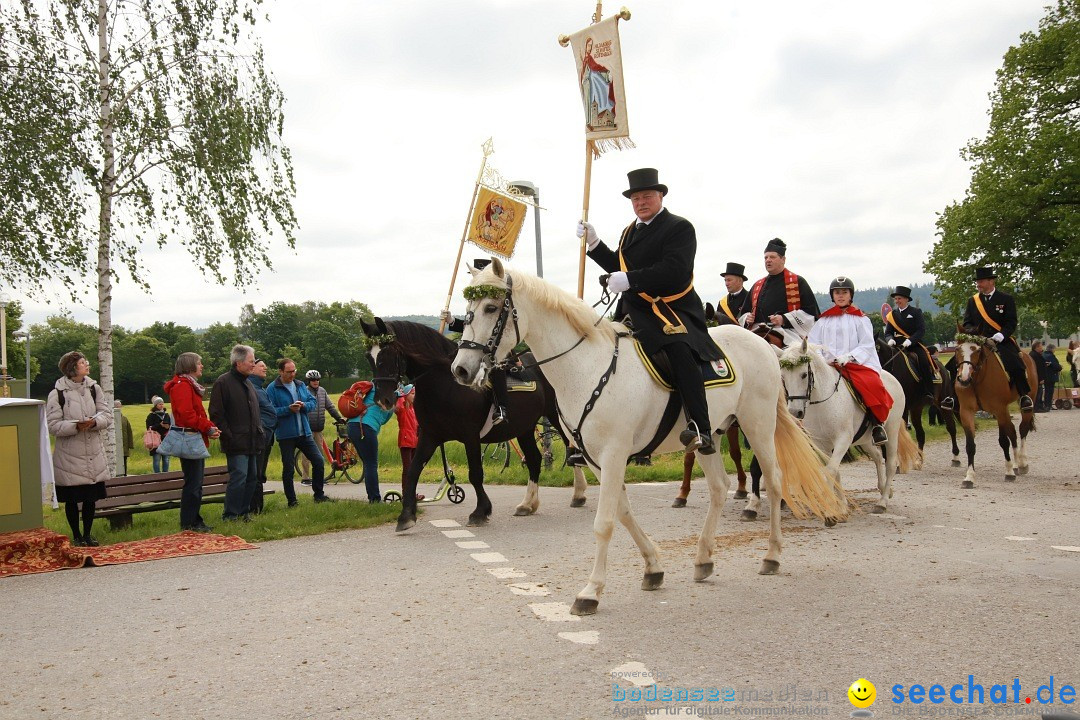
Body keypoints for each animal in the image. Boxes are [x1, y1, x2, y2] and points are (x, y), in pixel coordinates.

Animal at [360, 317, 583, 533]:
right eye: (369, 356)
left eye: (388, 353)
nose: (383, 400)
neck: (444, 383)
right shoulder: (429, 436)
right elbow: (413, 472)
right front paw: (406, 516)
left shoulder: (470, 436)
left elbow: (475, 473)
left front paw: (480, 512)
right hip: (525, 427)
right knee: (535, 459)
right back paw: (528, 504)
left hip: (557, 418)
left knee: (572, 450)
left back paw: (578, 494)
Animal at [451, 262, 846, 617]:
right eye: (465, 312)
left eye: (490, 308)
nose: (461, 370)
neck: (587, 365)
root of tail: (763, 345)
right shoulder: (596, 459)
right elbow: (624, 514)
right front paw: (653, 568)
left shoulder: (613, 454)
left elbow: (604, 522)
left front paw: (590, 591)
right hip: (710, 435)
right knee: (719, 487)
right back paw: (703, 559)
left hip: (758, 424)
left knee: (775, 480)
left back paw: (772, 555)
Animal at [777, 341, 920, 515]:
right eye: (783, 377)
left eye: (804, 375)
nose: (794, 412)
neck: (823, 402)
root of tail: (892, 378)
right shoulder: (821, 444)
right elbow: (835, 470)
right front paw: (841, 505)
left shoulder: (843, 440)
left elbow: (831, 470)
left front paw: (831, 509)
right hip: (865, 439)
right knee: (877, 457)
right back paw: (883, 489)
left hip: (892, 432)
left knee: (891, 464)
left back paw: (883, 501)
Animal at [876, 338, 963, 468]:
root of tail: (941, 367)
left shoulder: (903, 408)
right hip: (916, 408)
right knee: (920, 433)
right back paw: (919, 459)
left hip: (941, 402)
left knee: (951, 427)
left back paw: (956, 457)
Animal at [954, 328, 1036, 490]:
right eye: (958, 349)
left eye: (977, 350)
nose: (964, 378)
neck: (977, 378)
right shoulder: (966, 412)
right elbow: (970, 445)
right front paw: (969, 477)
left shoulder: (999, 410)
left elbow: (1003, 441)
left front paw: (1009, 472)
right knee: (1013, 432)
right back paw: (1016, 464)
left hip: (1024, 405)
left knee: (1022, 429)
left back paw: (1022, 463)